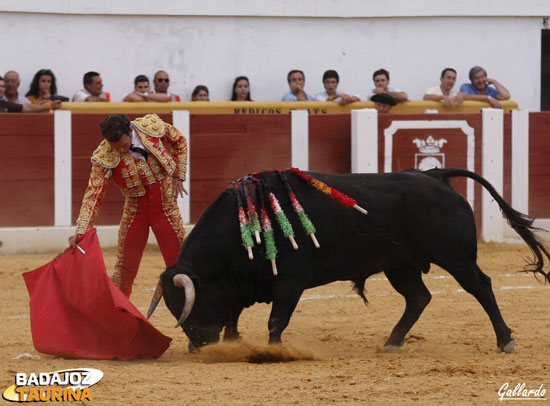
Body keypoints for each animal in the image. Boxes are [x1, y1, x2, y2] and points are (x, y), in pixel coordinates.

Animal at [147, 168, 550, 352]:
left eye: (192, 306)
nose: (197, 346)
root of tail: (434, 174)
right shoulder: (246, 285)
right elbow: (234, 315)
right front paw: (234, 342)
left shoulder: (291, 279)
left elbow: (277, 318)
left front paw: (274, 350)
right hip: (400, 266)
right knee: (418, 297)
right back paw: (392, 342)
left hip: (456, 258)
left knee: (481, 287)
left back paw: (505, 340)